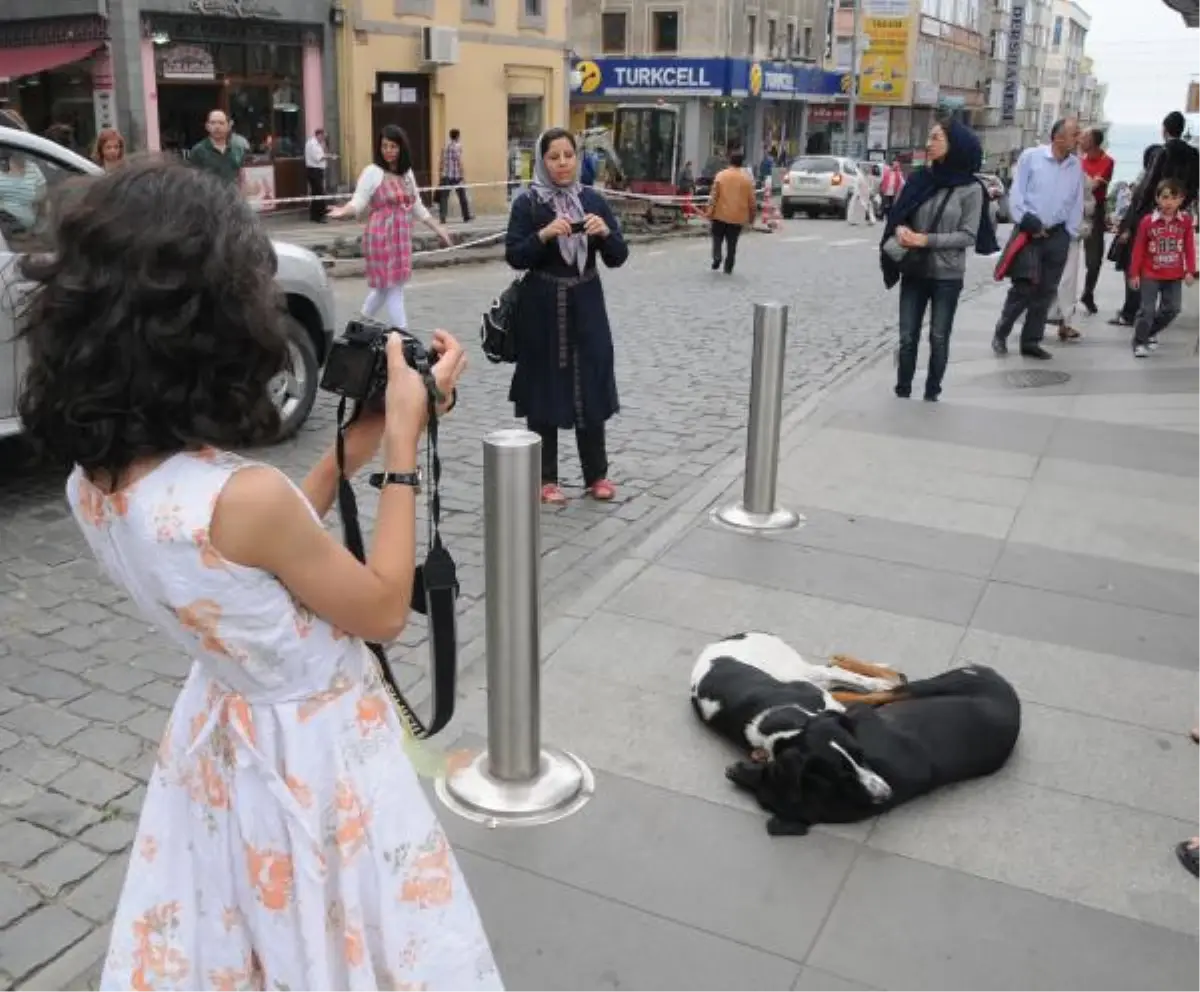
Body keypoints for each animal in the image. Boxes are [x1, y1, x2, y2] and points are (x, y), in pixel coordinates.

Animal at [696, 638, 1022, 839]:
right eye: (841, 775)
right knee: (886, 685)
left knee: (886, 683)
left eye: (861, 754)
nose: (884, 795)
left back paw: (855, 673)